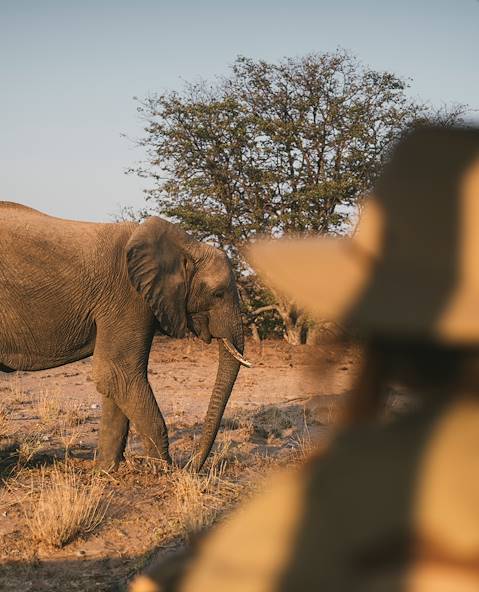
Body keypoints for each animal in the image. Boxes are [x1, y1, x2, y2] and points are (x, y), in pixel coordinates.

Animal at [0, 201, 251, 470]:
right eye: (218, 294)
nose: (192, 466)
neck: (185, 243)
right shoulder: (129, 296)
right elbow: (117, 372)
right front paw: (163, 472)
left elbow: (116, 381)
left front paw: (106, 471)